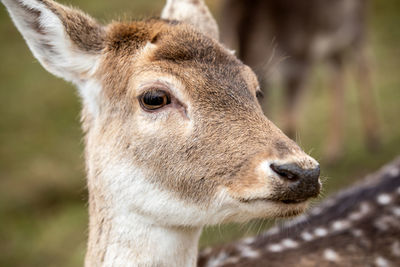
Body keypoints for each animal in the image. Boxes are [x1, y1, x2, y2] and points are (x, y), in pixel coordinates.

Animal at [220, 0, 380, 163]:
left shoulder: (301, 61)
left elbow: (291, 118)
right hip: (334, 43)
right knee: (338, 72)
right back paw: (334, 151)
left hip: (358, 26)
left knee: (363, 65)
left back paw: (373, 138)